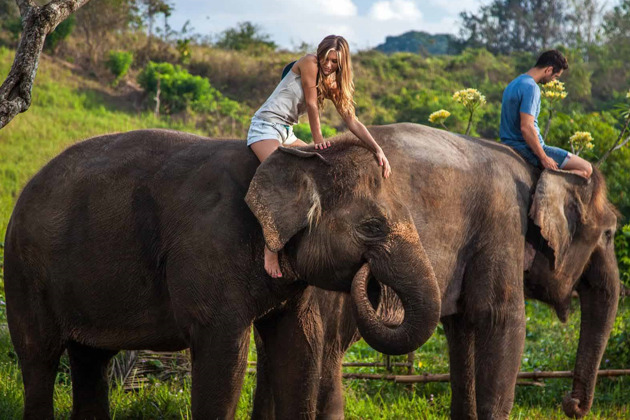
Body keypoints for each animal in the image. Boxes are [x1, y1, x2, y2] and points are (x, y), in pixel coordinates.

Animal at [4, 128, 440, 420]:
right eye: (373, 226)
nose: (370, 278)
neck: (293, 161)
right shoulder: (212, 249)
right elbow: (225, 353)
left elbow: (300, 344)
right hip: (24, 272)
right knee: (40, 357)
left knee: (89, 357)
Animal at [247, 123, 624, 418]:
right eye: (609, 233)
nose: (571, 405)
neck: (538, 171)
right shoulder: (503, 224)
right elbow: (501, 318)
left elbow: (462, 327)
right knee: (325, 352)